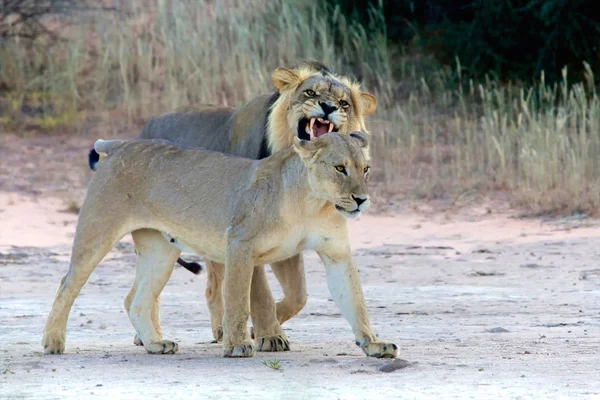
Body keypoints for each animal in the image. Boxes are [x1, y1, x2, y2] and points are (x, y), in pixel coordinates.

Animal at [43, 132, 398, 360]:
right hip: (97, 232)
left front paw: (374, 345)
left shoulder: (337, 254)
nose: (361, 200)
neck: (313, 203)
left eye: (365, 169)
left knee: (137, 299)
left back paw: (156, 344)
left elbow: (356, 302)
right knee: (66, 284)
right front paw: (239, 344)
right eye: (340, 168)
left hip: (161, 251)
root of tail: (120, 144)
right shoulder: (240, 244)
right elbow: (239, 300)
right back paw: (53, 342)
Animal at [89, 60, 378, 344]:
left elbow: (298, 295)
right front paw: (269, 334)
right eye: (310, 93)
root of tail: (142, 129)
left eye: (344, 103)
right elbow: (259, 290)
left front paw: (261, 327)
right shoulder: (247, 232)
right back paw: (157, 335)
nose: (328, 107)